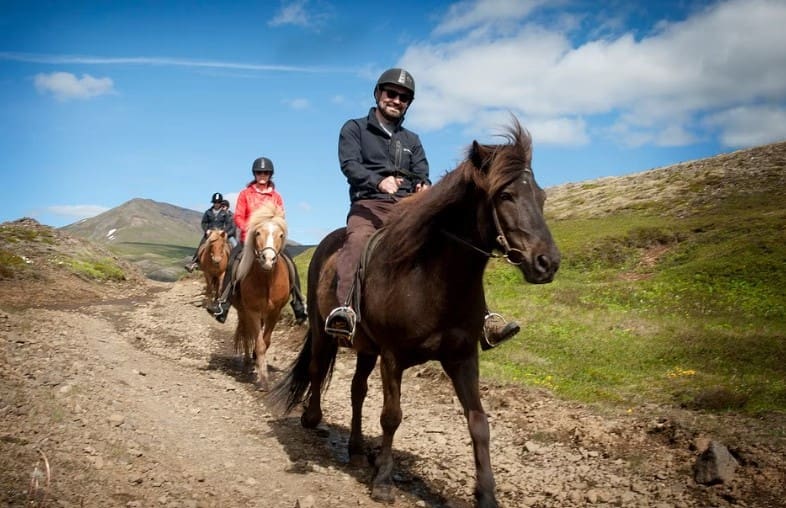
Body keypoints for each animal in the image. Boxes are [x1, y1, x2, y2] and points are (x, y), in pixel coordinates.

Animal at [231, 202, 291, 390]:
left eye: (280, 235)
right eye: (257, 233)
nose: (268, 259)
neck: (266, 281)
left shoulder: (275, 313)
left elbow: (267, 341)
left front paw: (259, 364)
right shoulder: (252, 312)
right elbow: (259, 343)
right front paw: (263, 378)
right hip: (243, 312)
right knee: (245, 334)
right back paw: (247, 361)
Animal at [269, 119, 561, 507]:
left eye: (540, 197)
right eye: (505, 196)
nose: (547, 263)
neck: (431, 279)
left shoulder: (462, 357)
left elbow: (479, 423)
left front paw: (486, 494)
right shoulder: (393, 357)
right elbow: (391, 416)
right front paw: (383, 482)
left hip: (366, 349)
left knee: (357, 390)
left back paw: (358, 450)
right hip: (323, 332)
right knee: (318, 369)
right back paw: (313, 417)